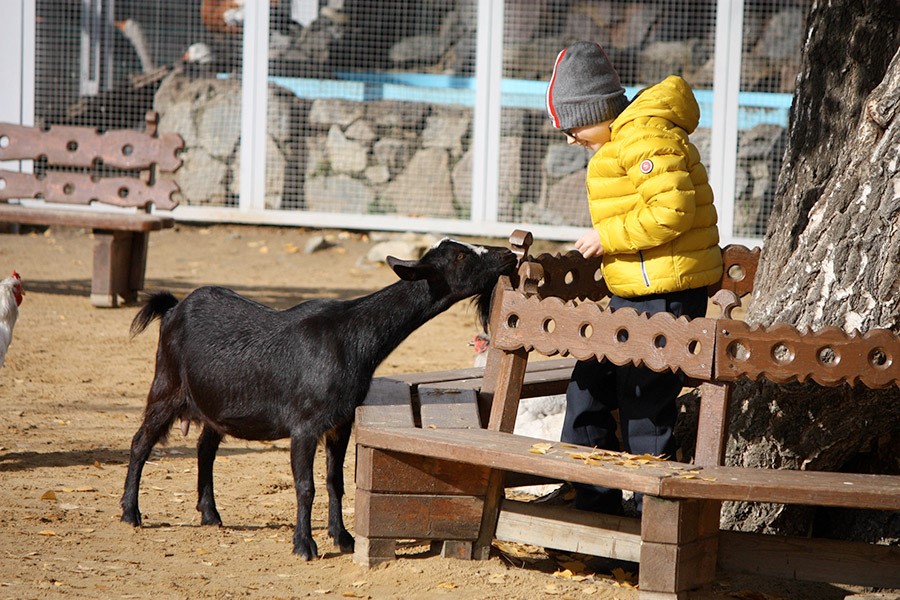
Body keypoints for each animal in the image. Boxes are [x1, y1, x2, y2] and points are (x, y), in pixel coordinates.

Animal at [121, 239, 512, 556]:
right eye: (461, 256)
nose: (507, 253)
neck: (353, 336)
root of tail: (173, 308)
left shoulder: (341, 422)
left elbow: (335, 482)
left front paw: (343, 538)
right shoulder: (305, 425)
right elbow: (305, 486)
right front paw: (304, 545)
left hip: (214, 402)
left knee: (205, 447)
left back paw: (210, 513)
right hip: (166, 384)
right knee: (141, 441)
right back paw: (130, 512)